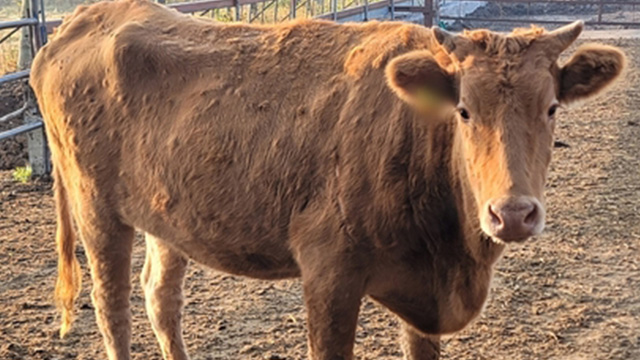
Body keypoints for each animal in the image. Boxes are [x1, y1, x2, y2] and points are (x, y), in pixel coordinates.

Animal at [31, 1, 624, 358]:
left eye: (551, 108)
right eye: (463, 111)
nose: (513, 214)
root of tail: (86, 17)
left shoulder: (427, 295)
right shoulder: (329, 275)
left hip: (166, 216)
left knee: (160, 296)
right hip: (96, 210)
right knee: (113, 308)